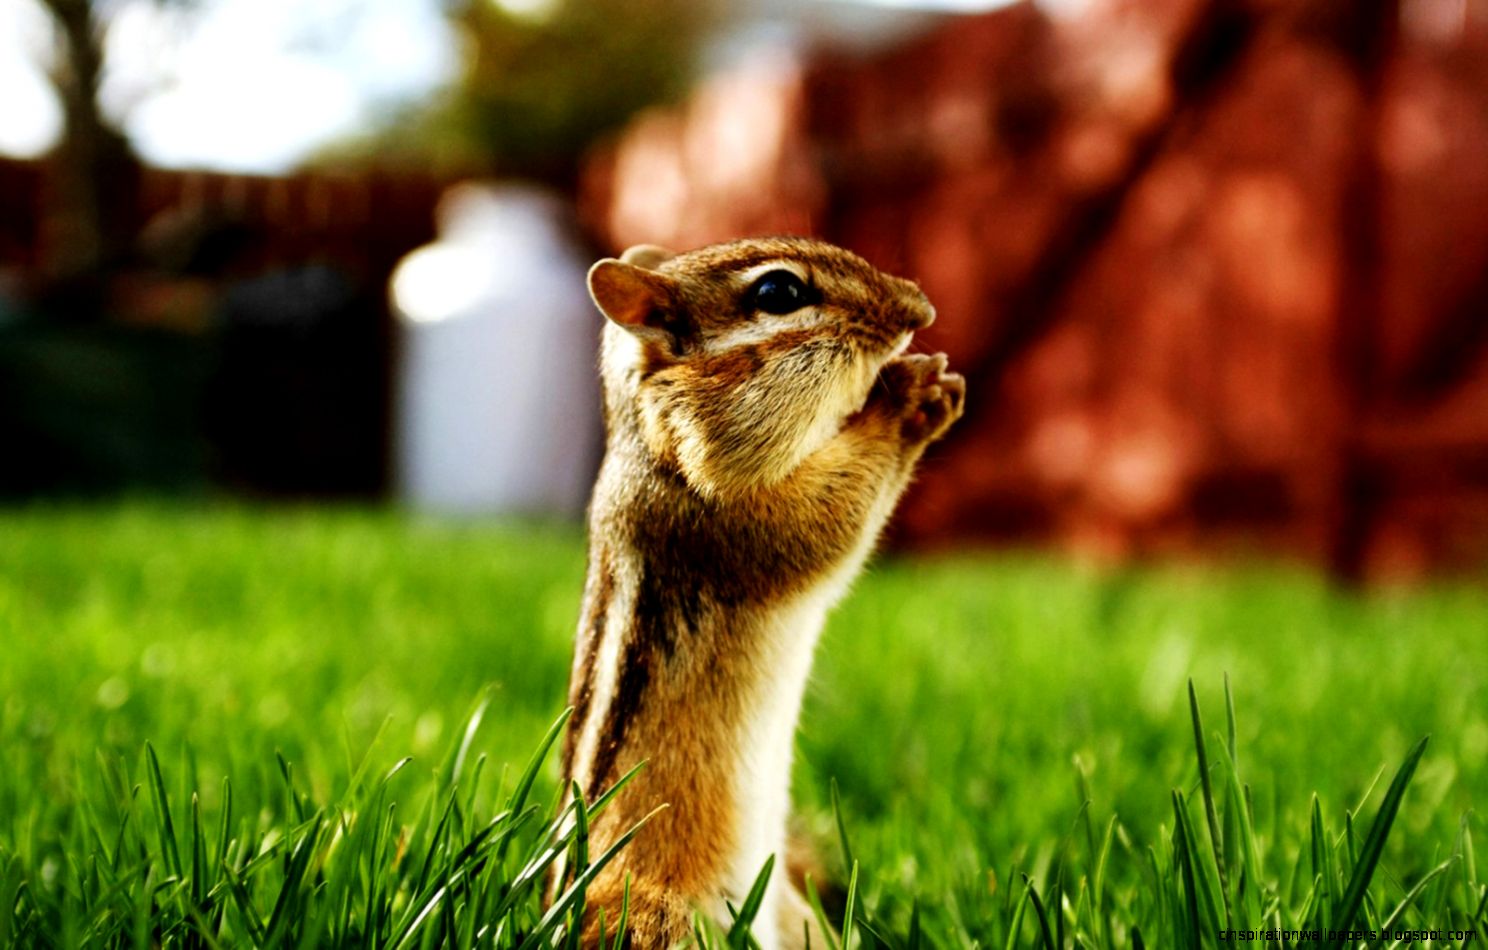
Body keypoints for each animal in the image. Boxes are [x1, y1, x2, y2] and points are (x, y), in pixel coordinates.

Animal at [555, 236, 964, 948]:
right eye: (779, 293)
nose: (922, 308)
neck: (654, 443)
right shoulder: (727, 518)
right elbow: (827, 523)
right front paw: (910, 398)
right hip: (660, 920)